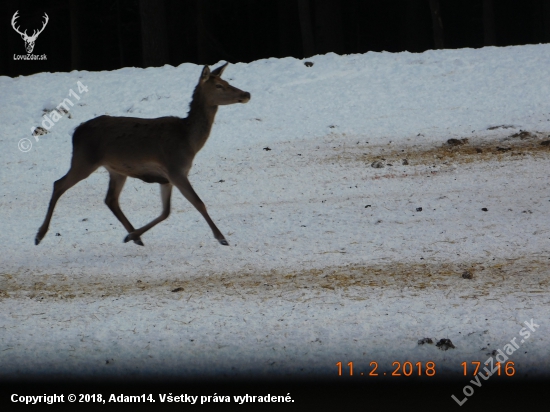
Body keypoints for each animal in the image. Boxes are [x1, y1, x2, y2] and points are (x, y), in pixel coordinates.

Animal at [34, 62, 250, 246]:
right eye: (219, 86)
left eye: (227, 82)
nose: (246, 93)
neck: (189, 141)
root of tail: (76, 132)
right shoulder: (176, 169)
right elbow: (199, 203)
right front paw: (221, 237)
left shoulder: (167, 178)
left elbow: (166, 212)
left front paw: (132, 235)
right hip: (84, 160)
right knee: (58, 184)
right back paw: (39, 235)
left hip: (116, 169)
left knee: (110, 199)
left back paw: (134, 236)